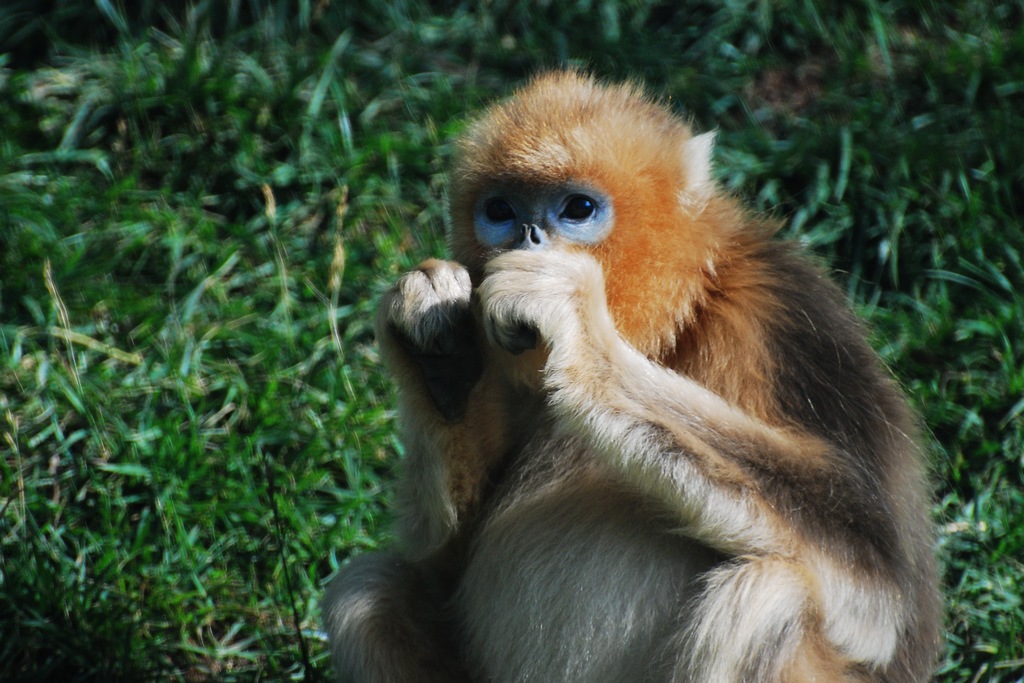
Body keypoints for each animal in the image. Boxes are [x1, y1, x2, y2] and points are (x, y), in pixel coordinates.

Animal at [323, 70, 937, 683]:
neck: (670, 329)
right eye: (500, 211)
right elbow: (439, 559)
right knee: (364, 593)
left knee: (766, 597)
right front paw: (438, 350)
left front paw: (575, 326)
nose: (526, 237)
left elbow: (881, 586)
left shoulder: (783, 317)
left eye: (577, 208)